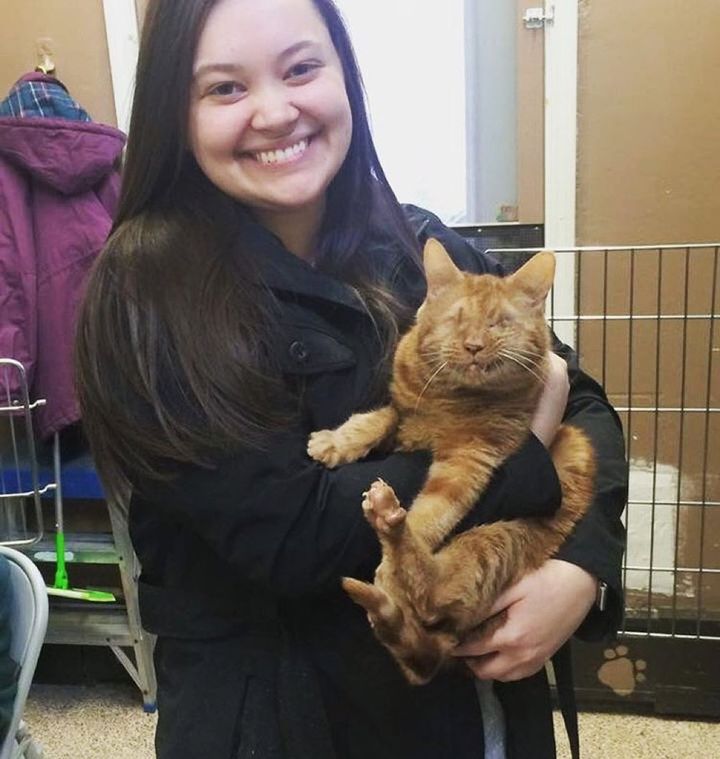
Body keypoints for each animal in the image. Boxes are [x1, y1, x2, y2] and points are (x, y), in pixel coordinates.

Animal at [306, 240, 592, 684]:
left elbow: (433, 513)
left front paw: (393, 562)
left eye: (498, 324)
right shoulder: (402, 417)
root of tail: (447, 647)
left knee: (432, 593)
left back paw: (390, 524)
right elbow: (376, 418)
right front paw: (336, 442)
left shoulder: (470, 459)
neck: (452, 399)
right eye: (457, 319)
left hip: (493, 541)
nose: (473, 344)